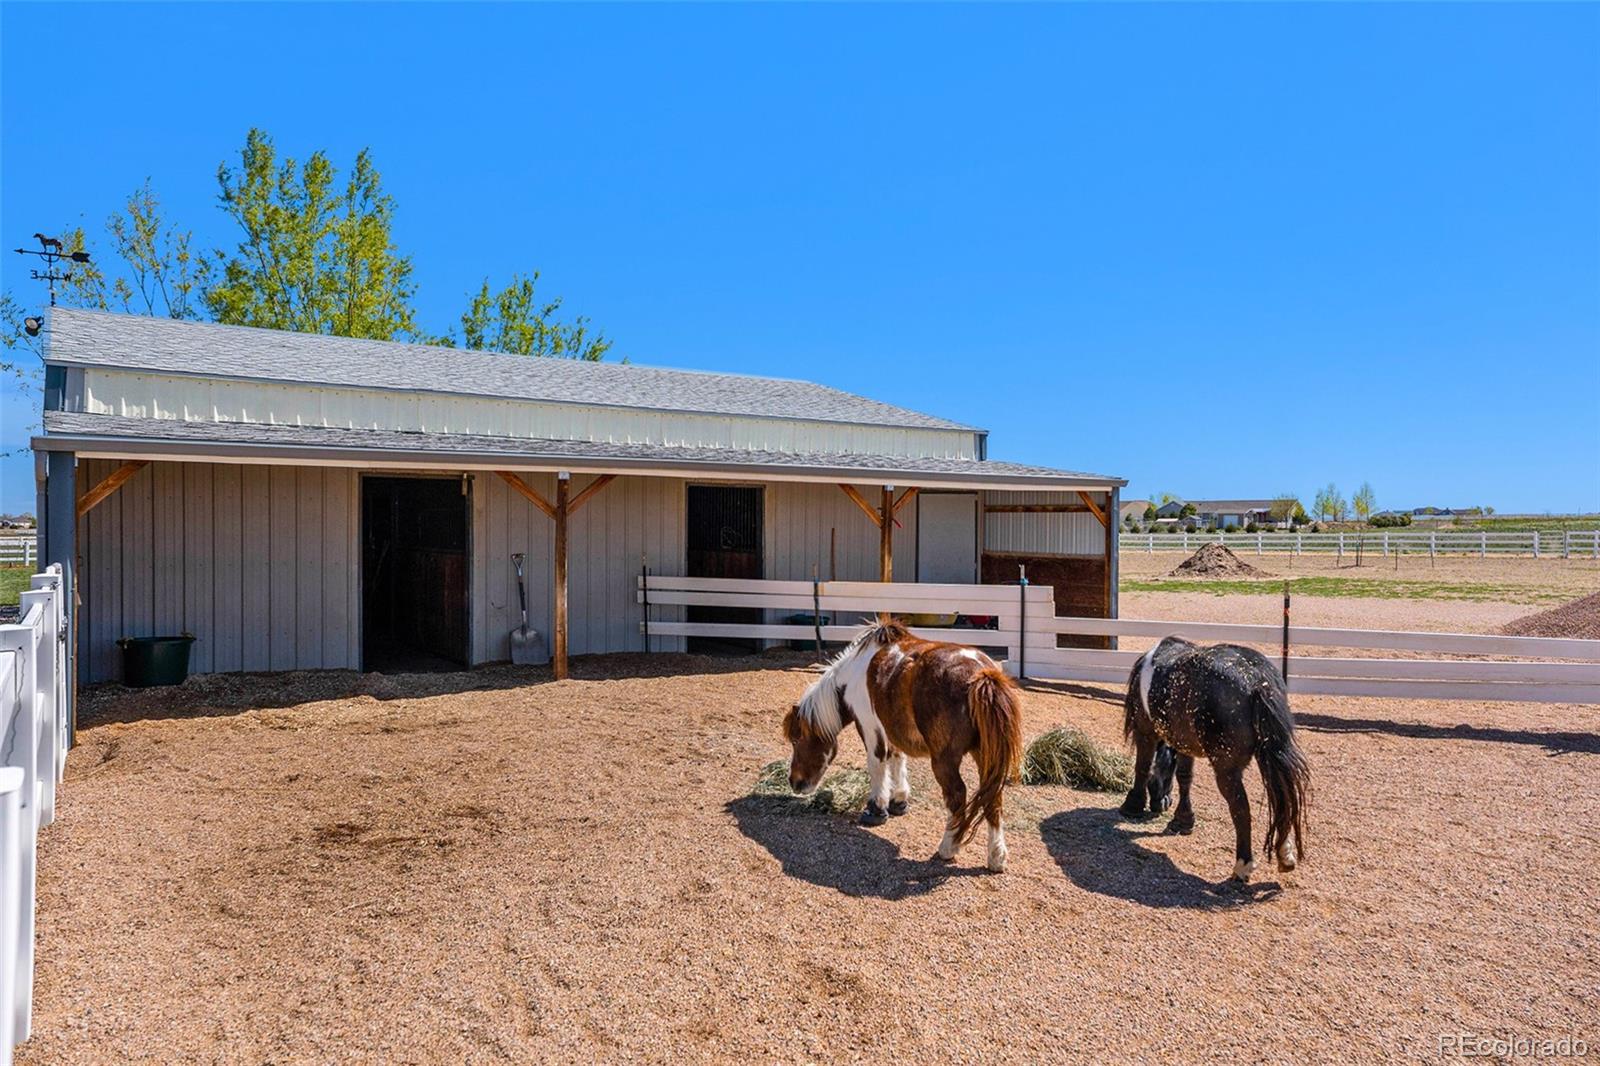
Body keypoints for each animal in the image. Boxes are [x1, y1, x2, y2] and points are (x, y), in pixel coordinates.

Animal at [784, 617, 1024, 870]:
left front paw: (876, 808)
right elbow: (897, 759)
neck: (854, 673)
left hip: (945, 761)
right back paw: (996, 856)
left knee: (958, 796)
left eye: (796, 739)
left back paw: (948, 847)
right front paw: (898, 800)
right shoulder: (891, 726)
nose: (795, 782)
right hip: (986, 756)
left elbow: (877, 764)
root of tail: (981, 674)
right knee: (993, 797)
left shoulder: (869, 726)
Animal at [1126, 633, 1312, 877]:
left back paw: (1243, 864)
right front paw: (1183, 820)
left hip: (1227, 769)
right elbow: (1184, 777)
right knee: (1281, 797)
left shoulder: (1145, 731)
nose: (1162, 802)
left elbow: (1143, 766)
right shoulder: (1185, 742)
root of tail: (1257, 682)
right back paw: (1285, 853)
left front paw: (1133, 805)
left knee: (1241, 807)